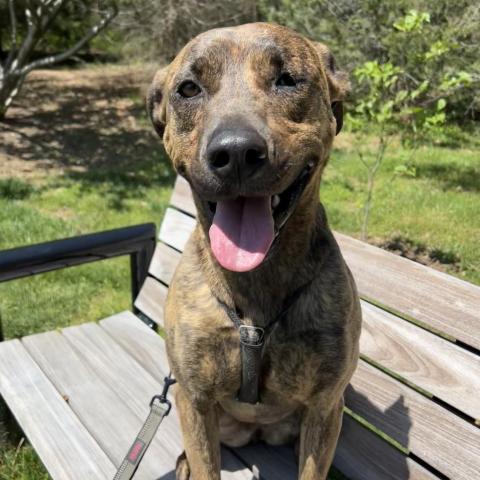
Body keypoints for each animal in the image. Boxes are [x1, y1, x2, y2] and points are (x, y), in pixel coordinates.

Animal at [146, 20, 360, 478]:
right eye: (188, 88)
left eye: (287, 80)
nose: (236, 152)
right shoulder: (194, 400)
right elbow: (205, 463)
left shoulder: (324, 406)